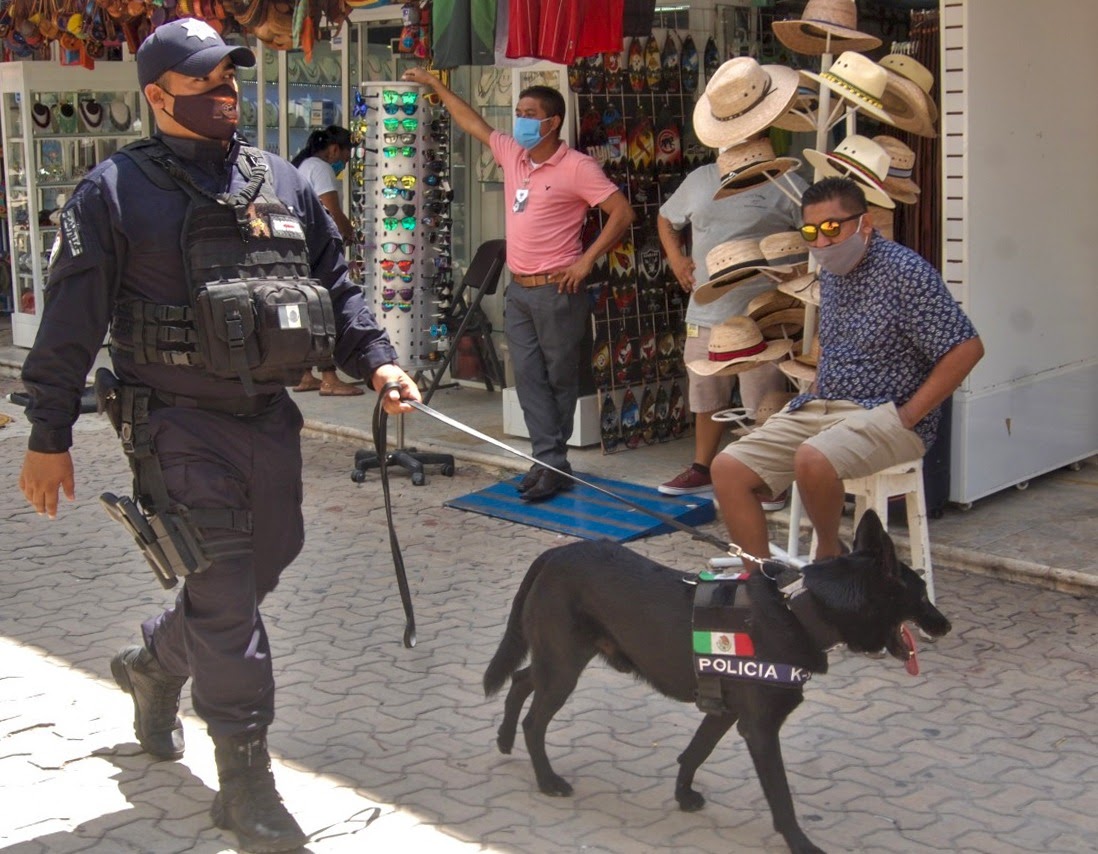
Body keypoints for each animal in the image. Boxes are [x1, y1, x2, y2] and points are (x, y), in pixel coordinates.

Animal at [483, 509, 953, 847]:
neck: (800, 609)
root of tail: (554, 555)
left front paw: (682, 795)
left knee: (521, 679)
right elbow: (781, 798)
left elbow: (694, 753)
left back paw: (504, 738)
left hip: (559, 659)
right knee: (534, 718)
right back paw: (546, 780)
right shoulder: (760, 730)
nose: (946, 625)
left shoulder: (725, 712)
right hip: (564, 665)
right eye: (921, 594)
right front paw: (800, 843)